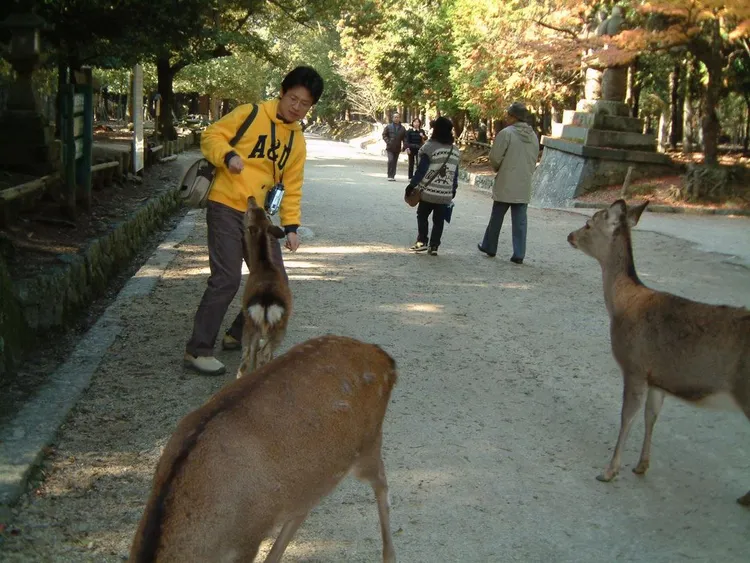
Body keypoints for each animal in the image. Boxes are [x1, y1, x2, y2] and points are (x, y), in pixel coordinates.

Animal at [129, 335, 398, 562]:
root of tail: (384, 358)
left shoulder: (247, 540)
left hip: (369, 442)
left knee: (382, 483)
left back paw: (389, 555)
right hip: (315, 475)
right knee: (304, 507)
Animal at [238, 196, 292, 377]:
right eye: (250, 211)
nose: (251, 197)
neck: (262, 265)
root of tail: (266, 302)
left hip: (252, 321)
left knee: (249, 355)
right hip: (278, 326)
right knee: (259, 354)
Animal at [567, 199, 750, 506]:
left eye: (589, 224)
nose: (570, 236)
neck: (622, 304)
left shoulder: (635, 365)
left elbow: (627, 415)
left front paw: (608, 471)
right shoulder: (657, 377)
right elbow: (650, 416)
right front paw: (641, 465)